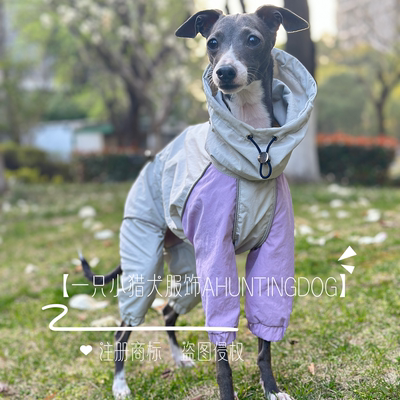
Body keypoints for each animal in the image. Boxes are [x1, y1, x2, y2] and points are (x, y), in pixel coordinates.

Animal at [80, 6, 316, 400]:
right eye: (213, 43)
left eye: (253, 39)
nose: (224, 72)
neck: (253, 147)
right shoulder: (215, 258)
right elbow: (221, 346)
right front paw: (227, 393)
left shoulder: (273, 251)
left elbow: (265, 335)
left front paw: (271, 388)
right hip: (145, 266)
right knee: (124, 326)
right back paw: (120, 384)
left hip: (189, 272)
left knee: (167, 311)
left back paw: (179, 360)